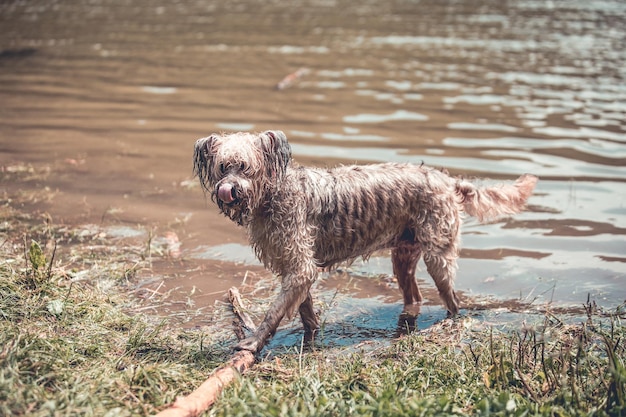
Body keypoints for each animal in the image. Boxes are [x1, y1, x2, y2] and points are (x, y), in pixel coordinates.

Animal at [193, 130, 532, 352]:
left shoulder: (300, 266)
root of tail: (446, 179)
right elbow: (305, 311)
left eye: (245, 167)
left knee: (452, 301)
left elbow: (275, 310)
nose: (227, 189)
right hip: (404, 256)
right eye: (223, 167)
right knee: (414, 297)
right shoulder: (295, 267)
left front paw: (254, 342)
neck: (273, 195)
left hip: (438, 255)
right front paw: (311, 337)